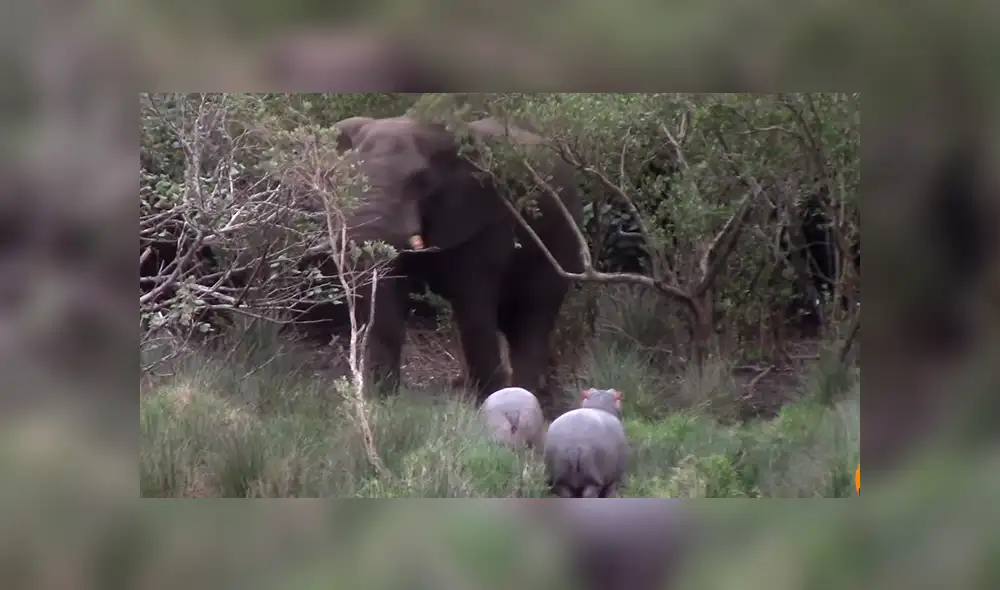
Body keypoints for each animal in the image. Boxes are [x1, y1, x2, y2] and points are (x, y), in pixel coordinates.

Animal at [316, 115, 584, 403]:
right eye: (343, 176)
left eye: (421, 180)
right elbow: (385, 311)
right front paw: (383, 403)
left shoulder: (488, 217)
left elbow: (473, 309)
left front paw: (486, 403)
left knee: (533, 316)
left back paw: (527, 394)